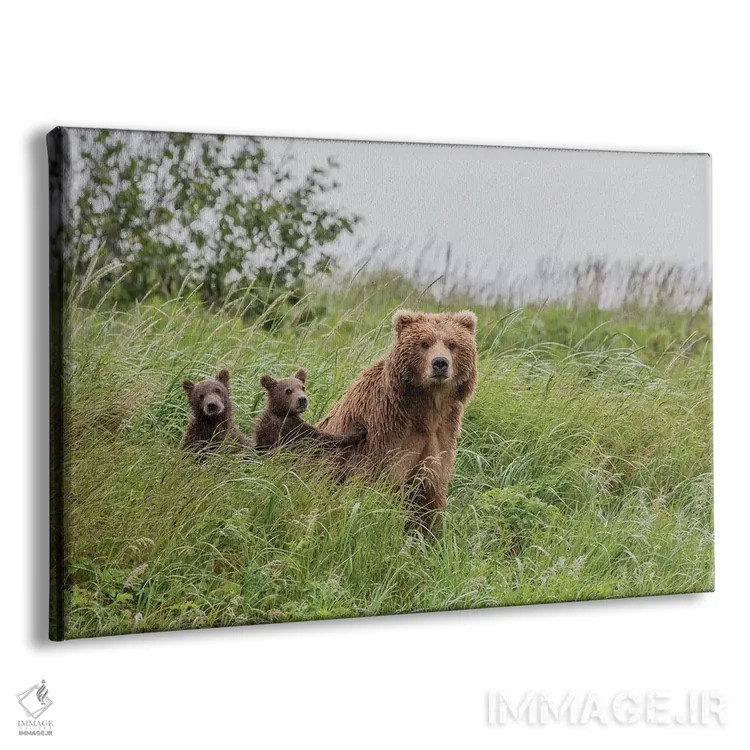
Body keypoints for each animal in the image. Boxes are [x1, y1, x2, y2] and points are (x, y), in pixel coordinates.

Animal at [317, 310, 478, 532]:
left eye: (452, 344)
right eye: (424, 343)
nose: (440, 363)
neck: (426, 409)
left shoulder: (441, 435)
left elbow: (430, 497)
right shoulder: (385, 433)